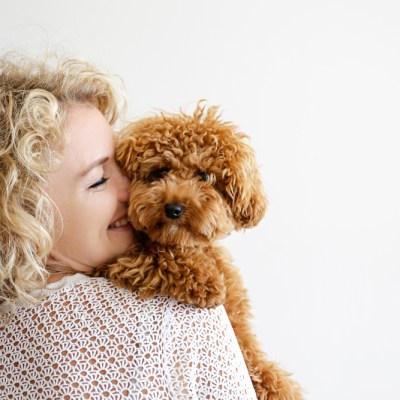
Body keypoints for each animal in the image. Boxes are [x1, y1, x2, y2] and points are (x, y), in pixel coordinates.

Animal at [97, 103, 304, 400]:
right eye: (160, 172)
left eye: (204, 176)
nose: (173, 208)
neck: (188, 244)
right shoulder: (116, 262)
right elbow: (160, 256)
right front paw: (206, 281)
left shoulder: (240, 327)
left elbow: (262, 367)